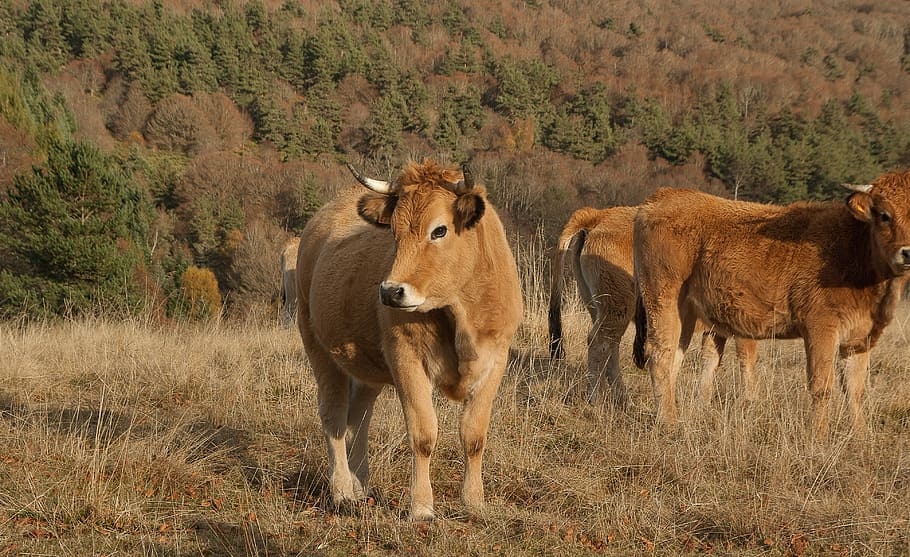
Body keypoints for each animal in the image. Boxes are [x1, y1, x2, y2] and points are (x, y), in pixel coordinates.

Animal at [295, 160, 522, 520]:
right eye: (393, 231)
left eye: (439, 230)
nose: (390, 291)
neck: (460, 314)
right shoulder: (407, 358)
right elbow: (423, 434)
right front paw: (421, 507)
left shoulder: (496, 358)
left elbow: (474, 435)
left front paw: (474, 501)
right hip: (317, 345)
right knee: (334, 416)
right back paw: (343, 491)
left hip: (366, 366)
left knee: (358, 418)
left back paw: (361, 486)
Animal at [549, 206, 757, 407]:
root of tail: (599, 215)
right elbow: (746, 360)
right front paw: (749, 401)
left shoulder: (715, 329)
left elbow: (710, 361)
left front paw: (703, 403)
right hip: (617, 308)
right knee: (598, 343)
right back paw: (596, 399)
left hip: (600, 308)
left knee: (610, 348)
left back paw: (623, 399)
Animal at [633, 171, 910, 437]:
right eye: (884, 215)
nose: (907, 252)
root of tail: (662, 196)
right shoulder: (820, 329)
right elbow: (821, 386)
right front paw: (818, 437)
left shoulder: (859, 339)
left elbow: (855, 391)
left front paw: (860, 437)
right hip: (663, 300)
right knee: (660, 357)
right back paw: (669, 423)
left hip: (686, 314)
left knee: (673, 359)